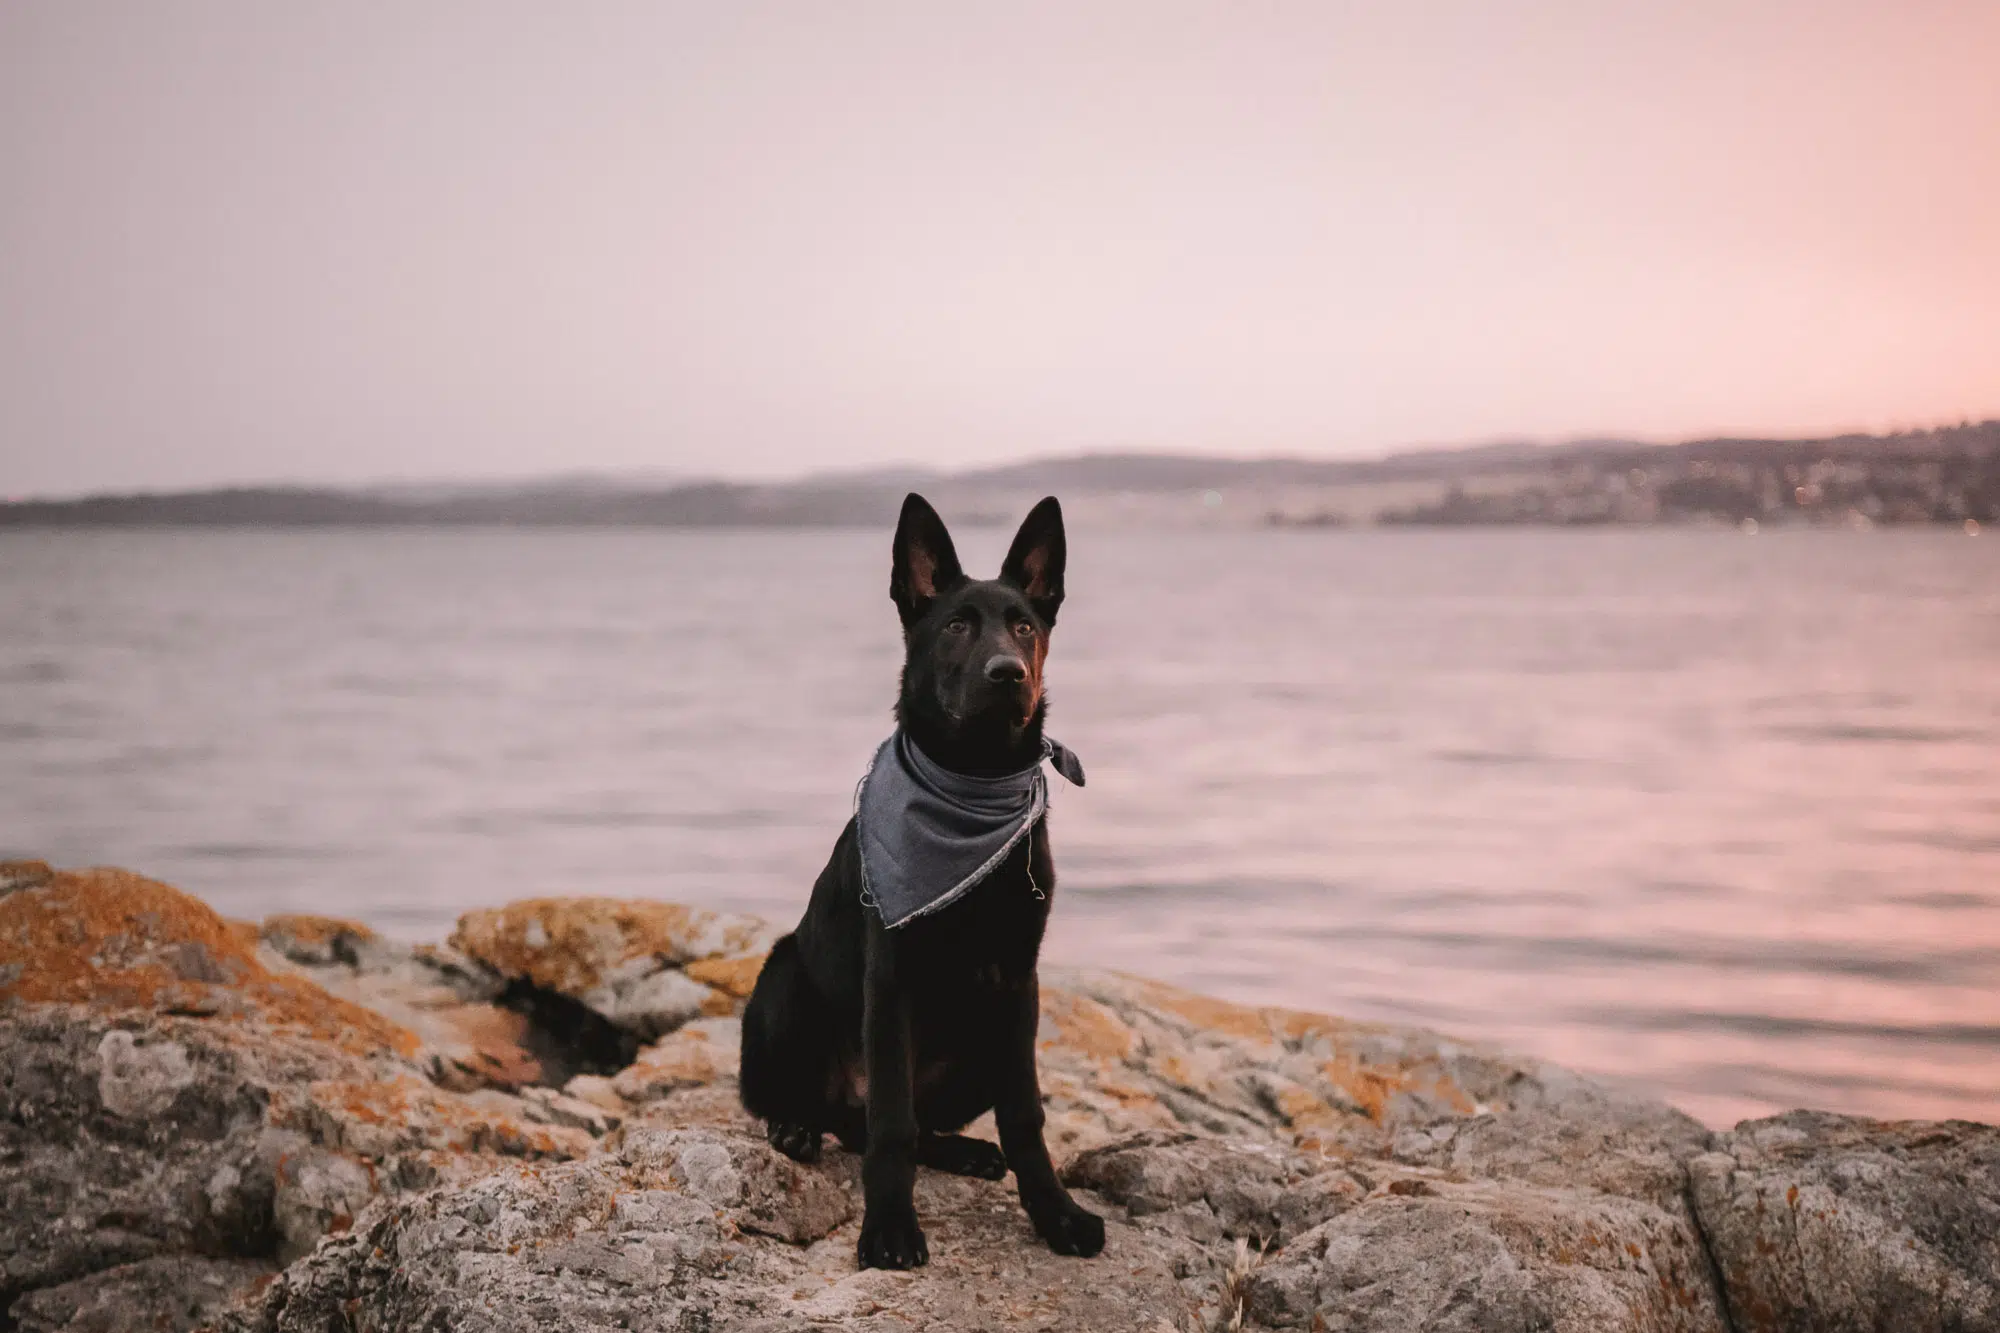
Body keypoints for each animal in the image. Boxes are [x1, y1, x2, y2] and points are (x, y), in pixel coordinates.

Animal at [740, 490, 1112, 1264]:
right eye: (956, 626)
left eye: (1025, 625)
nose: (1009, 672)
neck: (973, 783)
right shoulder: (891, 979)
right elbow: (892, 1124)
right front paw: (888, 1227)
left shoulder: (1018, 982)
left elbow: (1025, 1115)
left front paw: (1055, 1213)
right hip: (785, 979)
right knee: (836, 1114)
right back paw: (794, 1128)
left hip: (981, 1038)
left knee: (904, 1121)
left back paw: (964, 1151)